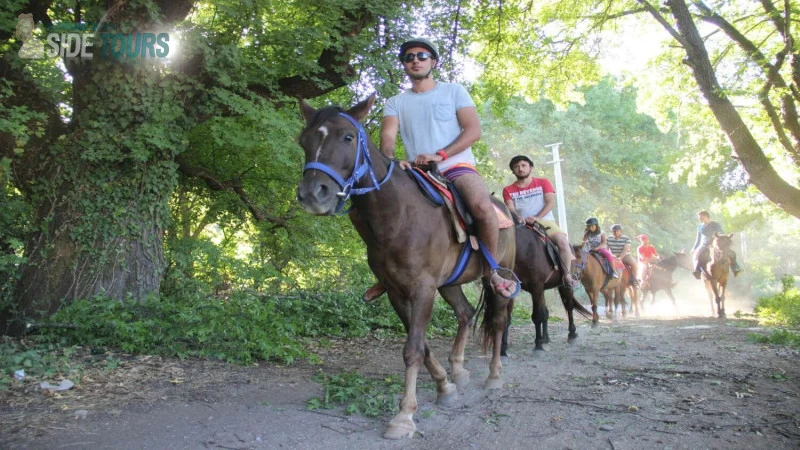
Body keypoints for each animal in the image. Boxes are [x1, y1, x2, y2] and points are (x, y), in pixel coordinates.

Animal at [296, 96, 516, 440]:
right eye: (303, 141)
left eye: (347, 137)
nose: (312, 194)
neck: (397, 215)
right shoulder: (396, 292)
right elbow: (421, 345)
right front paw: (445, 387)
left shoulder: (422, 288)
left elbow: (412, 349)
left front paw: (403, 416)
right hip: (449, 284)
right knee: (466, 313)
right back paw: (459, 369)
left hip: (499, 277)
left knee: (498, 321)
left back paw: (494, 376)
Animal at [506, 223, 592, 354]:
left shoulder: (536, 287)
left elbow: (537, 316)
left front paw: (538, 345)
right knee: (547, 312)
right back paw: (546, 338)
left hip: (562, 286)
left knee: (569, 307)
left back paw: (571, 334)